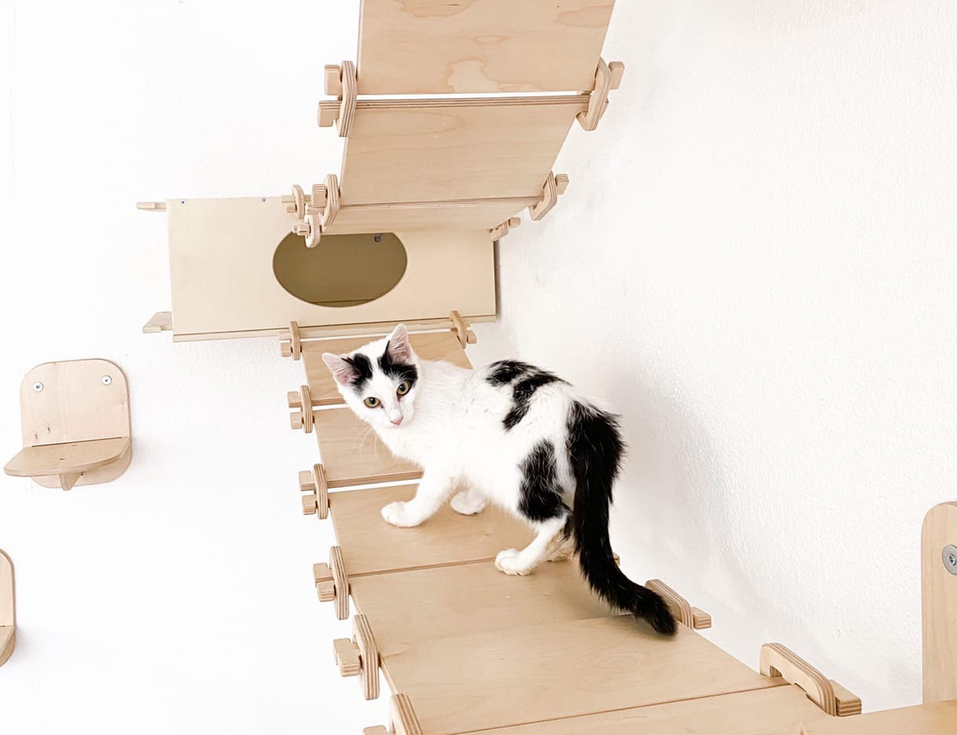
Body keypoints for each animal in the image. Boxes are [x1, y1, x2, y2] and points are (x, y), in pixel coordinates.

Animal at [322, 324, 677, 635]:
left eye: (401, 389)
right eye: (372, 401)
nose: (395, 418)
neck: (419, 403)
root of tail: (586, 417)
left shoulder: (443, 462)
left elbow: (427, 494)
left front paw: (406, 515)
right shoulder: (474, 455)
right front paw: (471, 502)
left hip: (516, 474)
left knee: (557, 517)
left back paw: (520, 562)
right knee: (575, 515)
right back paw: (555, 551)